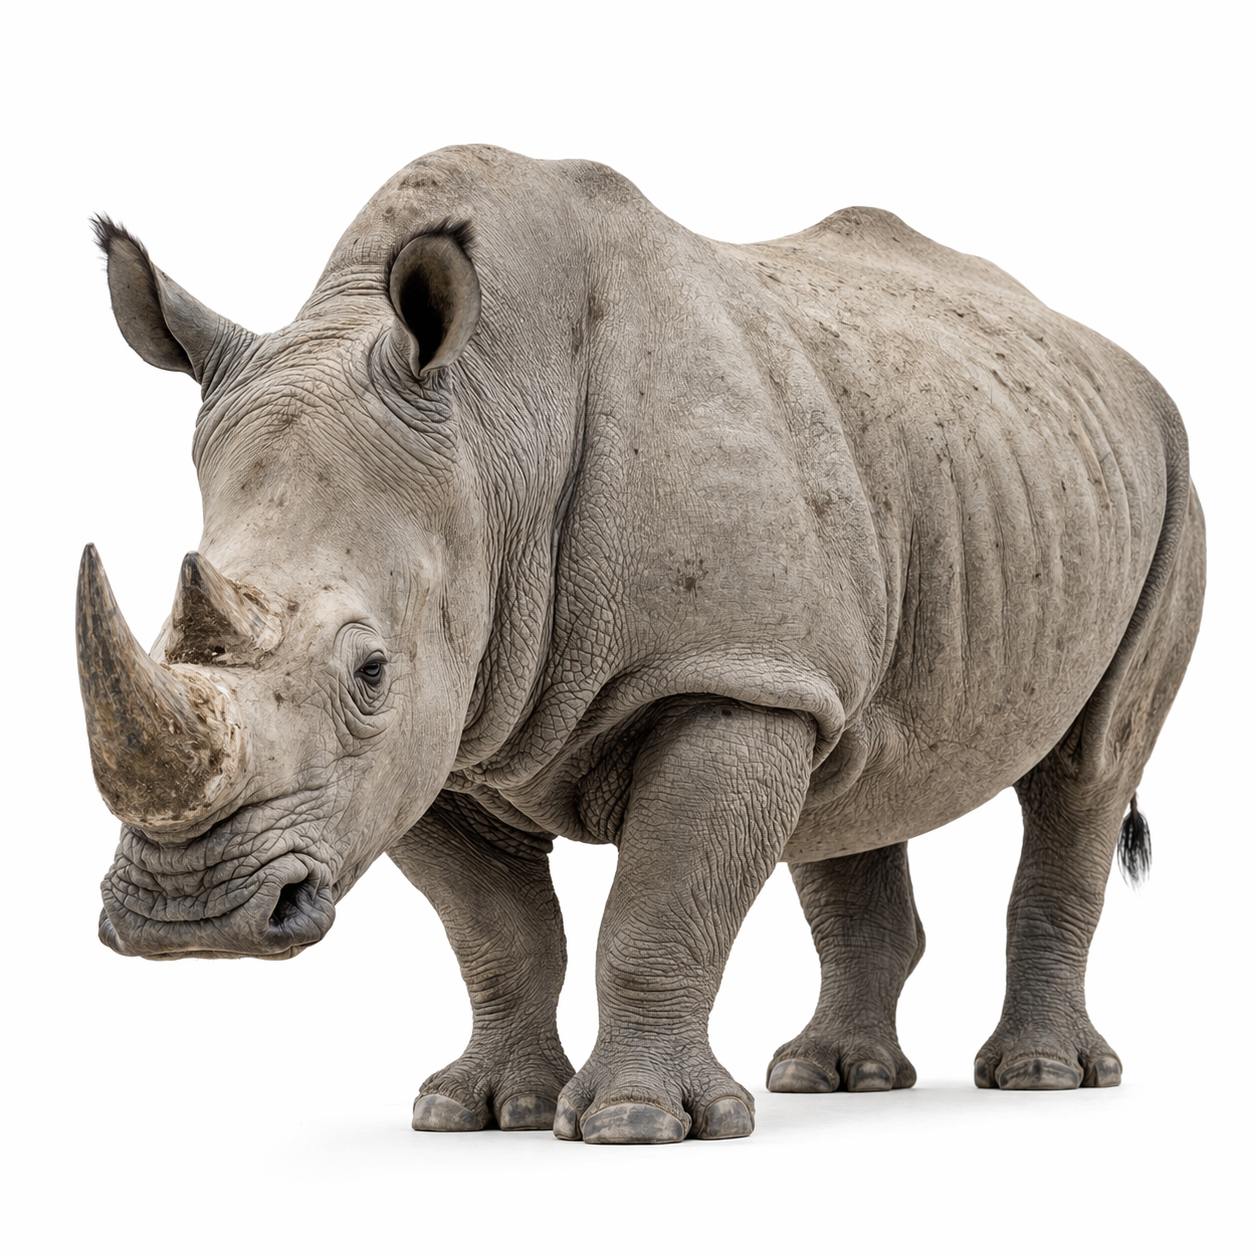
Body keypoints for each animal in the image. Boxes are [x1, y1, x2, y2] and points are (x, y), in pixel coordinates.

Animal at [80, 145, 1204, 1144]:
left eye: (369, 672)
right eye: (165, 634)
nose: (188, 917)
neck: (491, 433)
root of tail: (1114, 359)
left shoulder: (723, 676)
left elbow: (659, 910)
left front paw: (635, 1125)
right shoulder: (444, 732)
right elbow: (498, 933)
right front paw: (479, 1112)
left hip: (1170, 488)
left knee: (1087, 771)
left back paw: (1042, 1078)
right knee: (851, 771)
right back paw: (832, 1079)